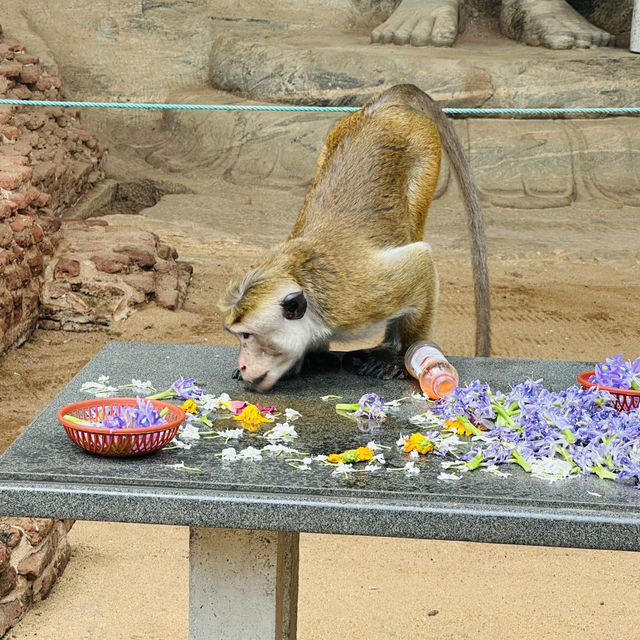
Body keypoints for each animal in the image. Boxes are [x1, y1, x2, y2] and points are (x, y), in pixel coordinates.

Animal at [220, 82, 490, 392]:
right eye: (238, 336)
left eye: (247, 336)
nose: (243, 364)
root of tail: (384, 108)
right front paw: (309, 358)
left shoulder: (354, 303)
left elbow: (420, 262)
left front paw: (401, 356)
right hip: (338, 134)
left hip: (424, 147)